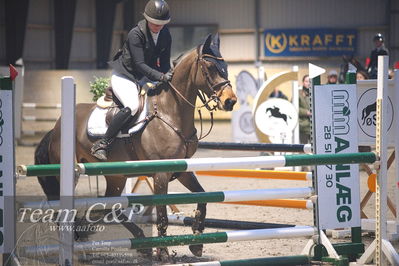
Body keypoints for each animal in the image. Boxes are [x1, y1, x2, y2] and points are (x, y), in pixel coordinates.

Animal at [33, 33, 238, 262]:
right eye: (210, 67)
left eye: (225, 66)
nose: (230, 101)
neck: (170, 113)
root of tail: (55, 128)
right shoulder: (161, 174)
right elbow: (162, 215)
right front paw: (164, 253)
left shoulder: (182, 170)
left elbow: (202, 199)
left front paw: (196, 243)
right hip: (71, 173)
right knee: (70, 210)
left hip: (116, 176)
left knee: (110, 206)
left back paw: (138, 242)